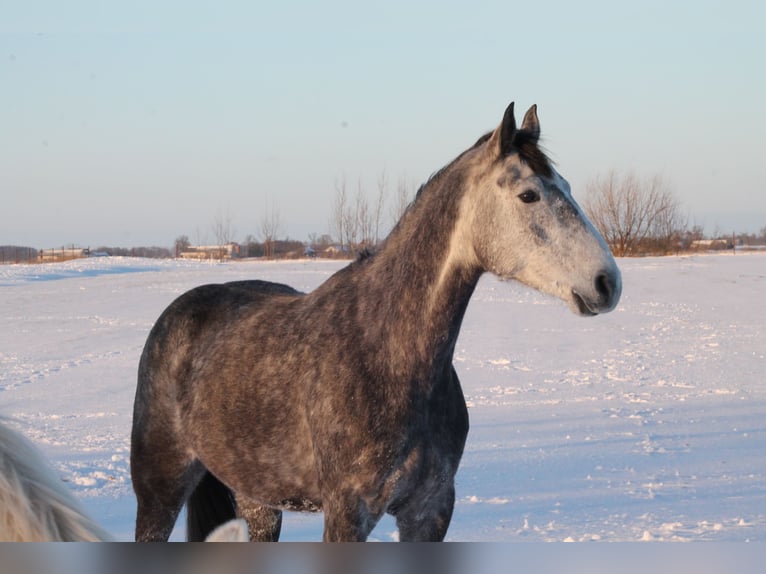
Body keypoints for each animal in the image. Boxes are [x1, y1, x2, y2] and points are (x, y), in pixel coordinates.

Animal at [130, 102, 622, 542]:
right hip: (159, 492)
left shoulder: (430, 511)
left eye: (567, 186)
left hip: (258, 501)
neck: (388, 353)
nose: (608, 282)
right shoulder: (349, 514)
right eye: (529, 194)